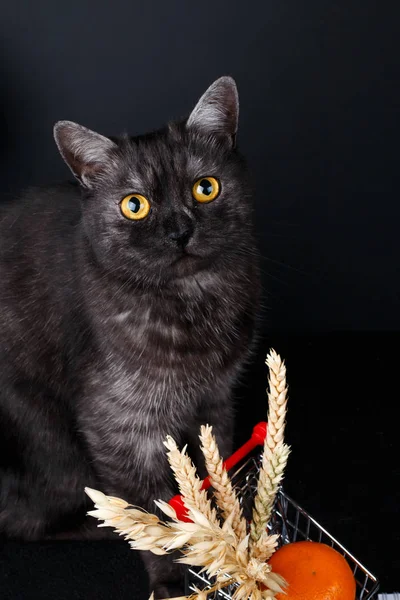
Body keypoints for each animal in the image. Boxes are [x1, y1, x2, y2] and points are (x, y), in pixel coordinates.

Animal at [0, 76, 260, 596]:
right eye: (134, 205)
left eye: (205, 188)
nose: (180, 230)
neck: (191, 304)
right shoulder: (117, 424)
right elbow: (151, 506)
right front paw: (174, 573)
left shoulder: (214, 399)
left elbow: (211, 467)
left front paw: (225, 533)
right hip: (49, 439)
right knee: (23, 522)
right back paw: (102, 525)